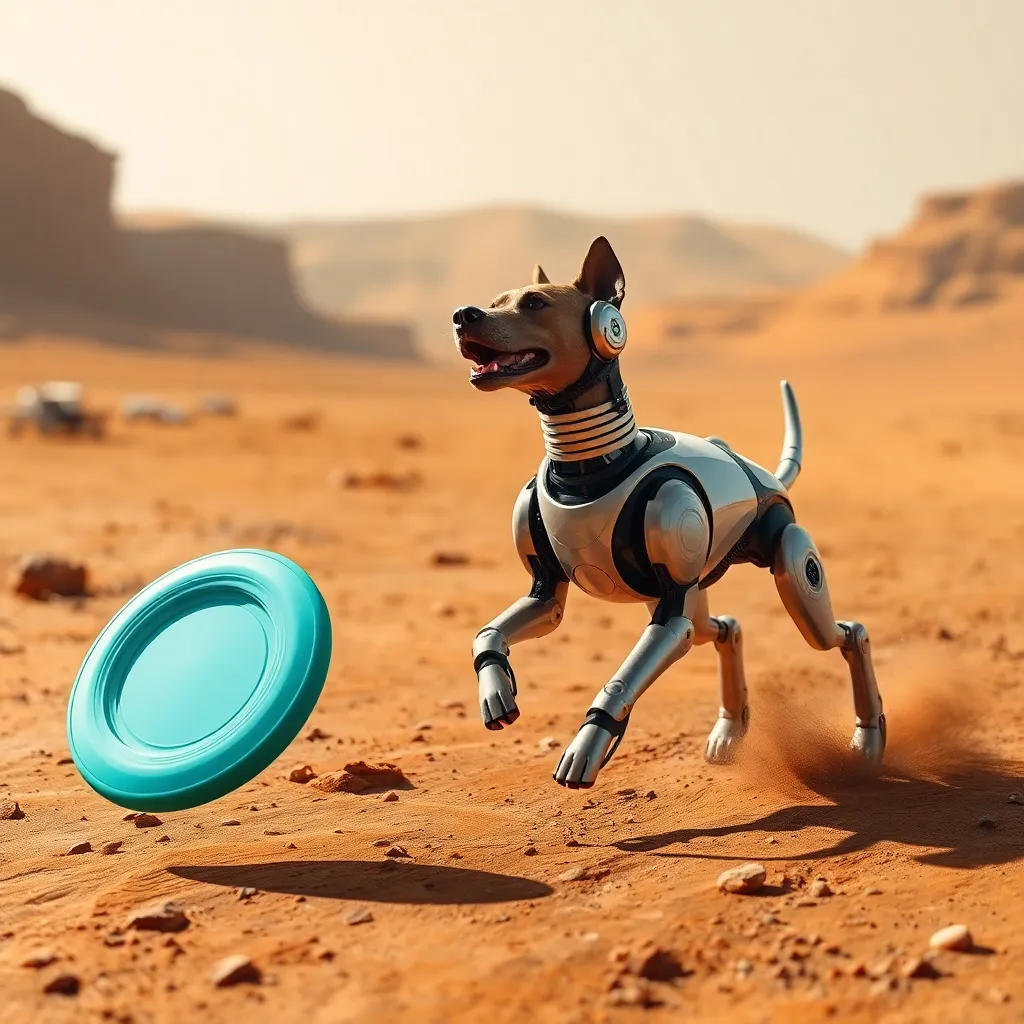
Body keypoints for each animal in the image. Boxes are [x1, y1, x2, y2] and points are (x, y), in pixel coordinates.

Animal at [452, 235, 884, 786]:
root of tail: (760, 474)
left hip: (783, 562)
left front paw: (589, 743)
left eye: (534, 303)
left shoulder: (672, 594)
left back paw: (868, 738)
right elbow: (491, 631)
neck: (592, 467)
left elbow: (621, 680)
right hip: (691, 598)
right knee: (724, 628)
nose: (463, 316)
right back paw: (730, 730)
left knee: (843, 629)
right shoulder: (547, 590)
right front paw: (496, 690)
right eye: (496, 299)